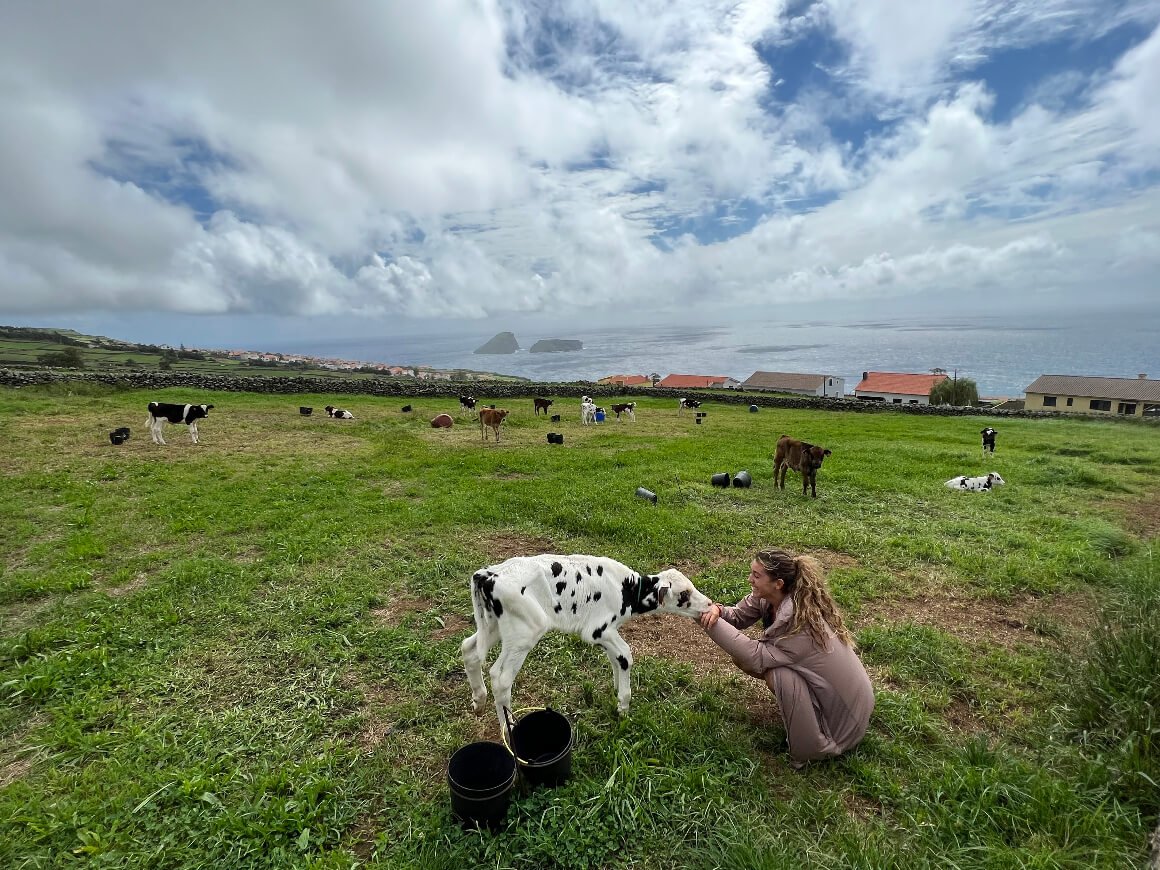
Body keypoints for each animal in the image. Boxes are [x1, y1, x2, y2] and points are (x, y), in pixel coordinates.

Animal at [459, 554, 709, 733]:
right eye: (684, 594)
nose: (708, 604)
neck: (626, 589)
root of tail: (488, 575)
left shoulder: (606, 632)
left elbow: (616, 658)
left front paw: (616, 691)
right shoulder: (597, 630)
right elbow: (625, 655)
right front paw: (623, 706)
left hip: (493, 627)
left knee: (469, 649)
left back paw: (479, 701)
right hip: (524, 633)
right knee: (500, 678)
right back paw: (508, 730)